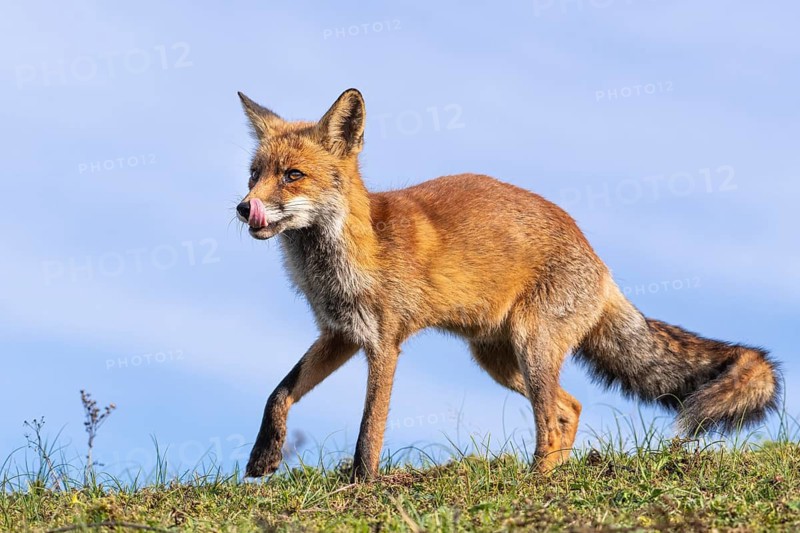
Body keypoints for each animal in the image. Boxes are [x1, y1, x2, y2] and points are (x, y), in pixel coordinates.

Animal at [235, 88, 780, 481]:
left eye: (293, 175)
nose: (243, 208)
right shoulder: (340, 335)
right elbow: (279, 393)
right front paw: (264, 458)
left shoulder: (384, 344)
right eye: (254, 174)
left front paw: (361, 485)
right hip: (499, 360)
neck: (347, 259)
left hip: (531, 348)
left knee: (552, 419)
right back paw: (548, 476)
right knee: (569, 408)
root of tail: (599, 262)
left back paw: (535, 482)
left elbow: (371, 428)